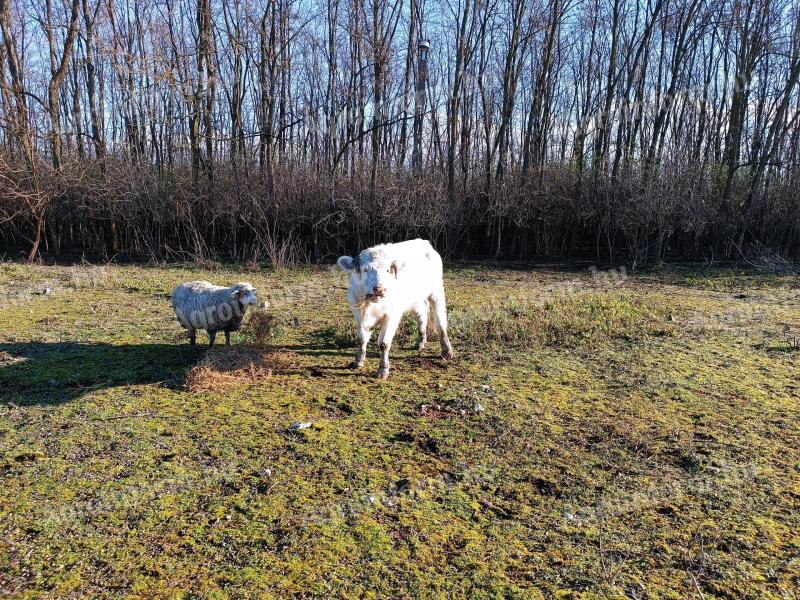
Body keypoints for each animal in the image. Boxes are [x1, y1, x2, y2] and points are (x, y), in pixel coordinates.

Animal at [334, 237, 454, 378]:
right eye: (365, 269)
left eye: (387, 270)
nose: (379, 289)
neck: (372, 305)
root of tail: (424, 242)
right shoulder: (358, 314)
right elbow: (361, 339)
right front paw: (358, 361)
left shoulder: (392, 316)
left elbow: (383, 343)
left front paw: (383, 369)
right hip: (416, 299)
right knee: (422, 314)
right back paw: (421, 342)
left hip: (436, 291)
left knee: (441, 321)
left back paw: (447, 350)